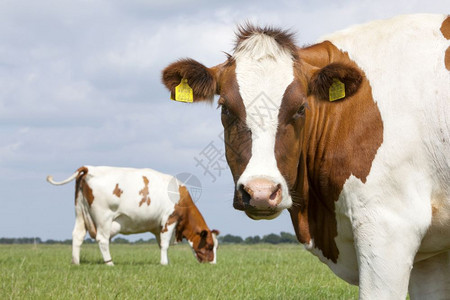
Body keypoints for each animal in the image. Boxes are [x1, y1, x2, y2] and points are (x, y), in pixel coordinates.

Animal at [47, 165, 220, 266]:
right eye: (209, 245)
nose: (213, 263)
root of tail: (90, 168)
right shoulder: (169, 219)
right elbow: (164, 244)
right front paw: (165, 263)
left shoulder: (157, 226)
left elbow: (161, 244)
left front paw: (164, 261)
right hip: (103, 217)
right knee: (102, 239)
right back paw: (110, 263)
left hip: (80, 213)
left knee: (77, 235)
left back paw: (75, 262)